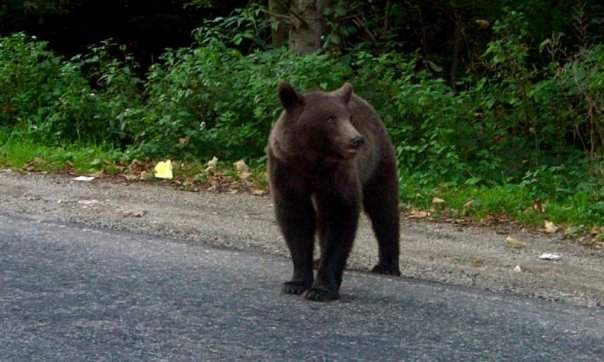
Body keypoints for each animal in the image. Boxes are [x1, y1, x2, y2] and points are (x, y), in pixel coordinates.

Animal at [268, 80, 402, 302]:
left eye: (349, 117)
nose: (356, 139)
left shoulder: (337, 175)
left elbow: (339, 216)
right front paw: (296, 283)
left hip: (378, 162)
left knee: (384, 208)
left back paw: (387, 265)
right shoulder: (287, 169)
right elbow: (295, 219)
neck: (312, 162)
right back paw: (317, 259)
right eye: (330, 118)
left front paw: (321, 289)